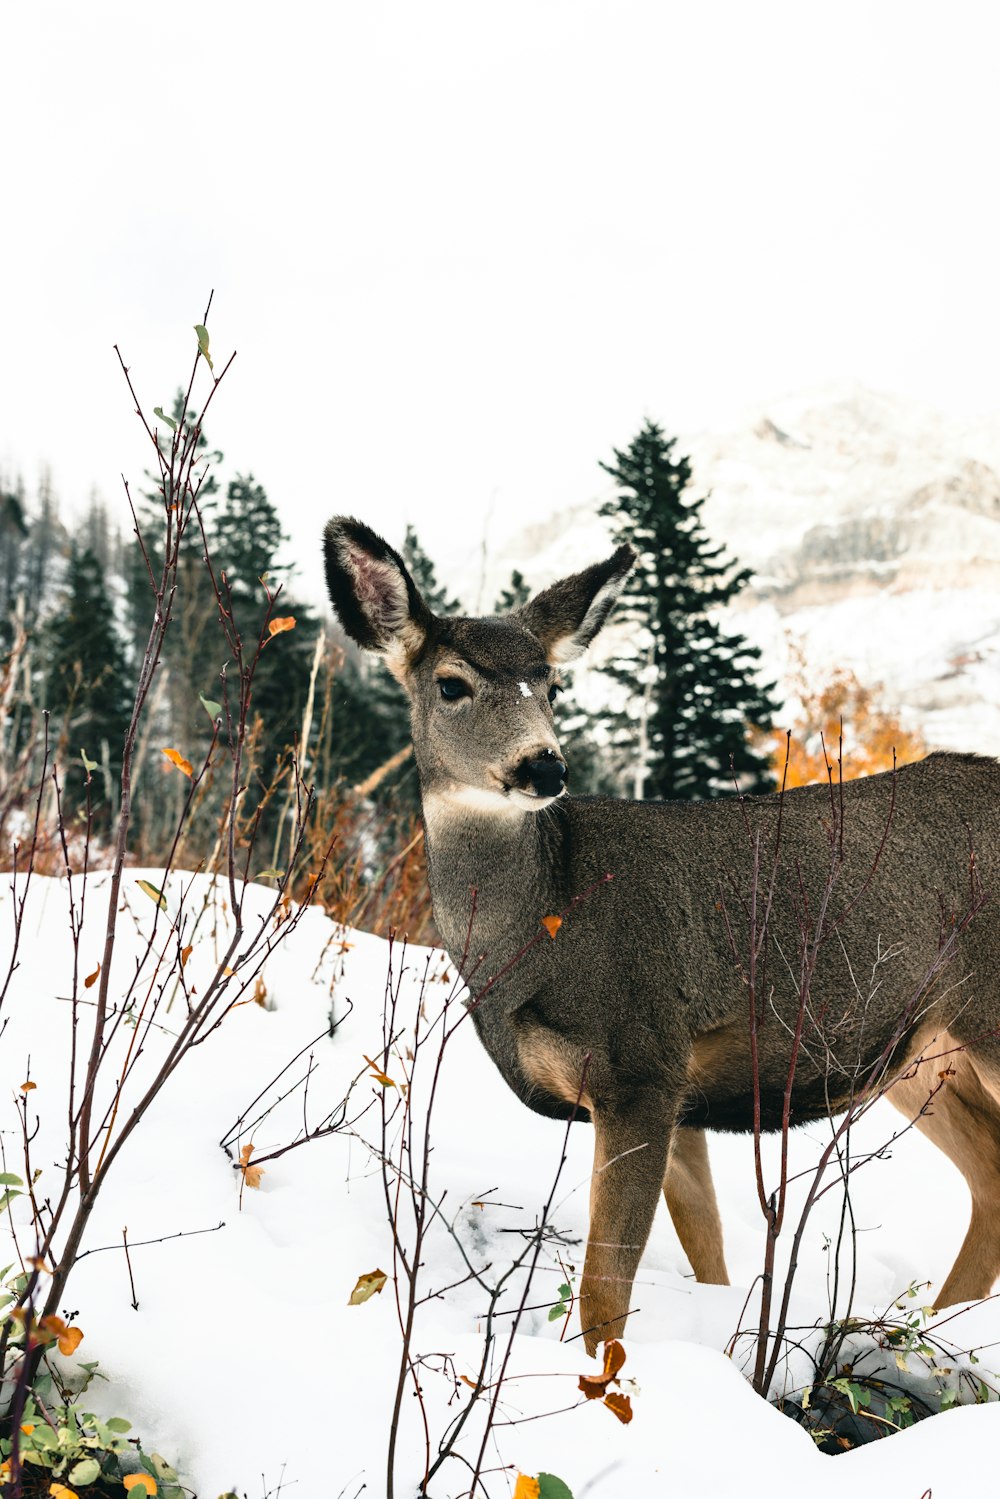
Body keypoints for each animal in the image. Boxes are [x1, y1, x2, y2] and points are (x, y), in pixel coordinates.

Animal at [322, 518, 1000, 1361]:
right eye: (451, 684)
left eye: (552, 684)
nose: (544, 765)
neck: (535, 933)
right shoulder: (675, 1091)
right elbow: (707, 1255)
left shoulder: (639, 1060)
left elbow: (604, 1292)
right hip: (920, 1049)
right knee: (992, 1173)